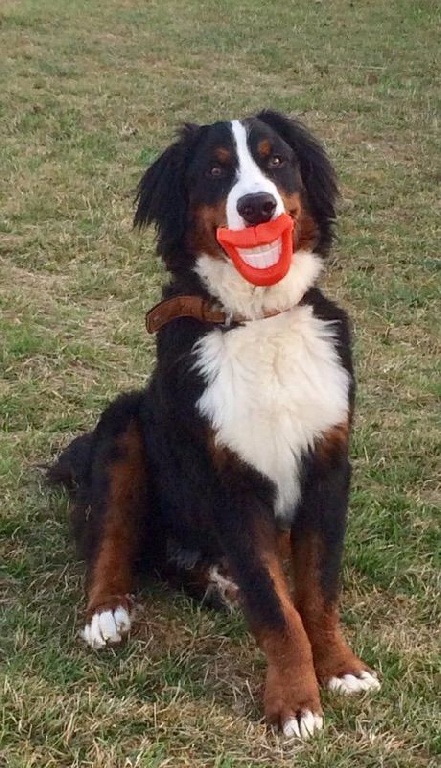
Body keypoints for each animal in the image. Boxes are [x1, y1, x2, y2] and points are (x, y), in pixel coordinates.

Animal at [47, 111, 378, 740]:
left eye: (277, 161)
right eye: (217, 171)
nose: (257, 206)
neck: (258, 322)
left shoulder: (327, 466)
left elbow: (316, 590)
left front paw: (340, 668)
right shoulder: (230, 483)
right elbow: (276, 607)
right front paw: (296, 702)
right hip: (124, 424)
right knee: (110, 537)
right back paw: (108, 611)